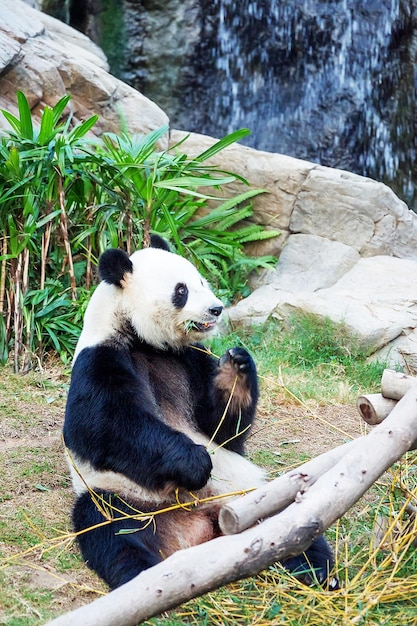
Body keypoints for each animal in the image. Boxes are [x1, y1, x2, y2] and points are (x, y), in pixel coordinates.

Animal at [61, 235, 336, 588]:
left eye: (202, 282)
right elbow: (104, 427)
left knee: (287, 519)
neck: (146, 341)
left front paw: (236, 366)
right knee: (112, 530)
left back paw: (317, 571)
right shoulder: (100, 358)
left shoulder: (189, 357)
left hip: (250, 497)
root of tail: (202, 525)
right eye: (181, 290)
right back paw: (144, 576)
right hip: (124, 498)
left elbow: (223, 428)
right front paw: (195, 462)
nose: (216, 308)